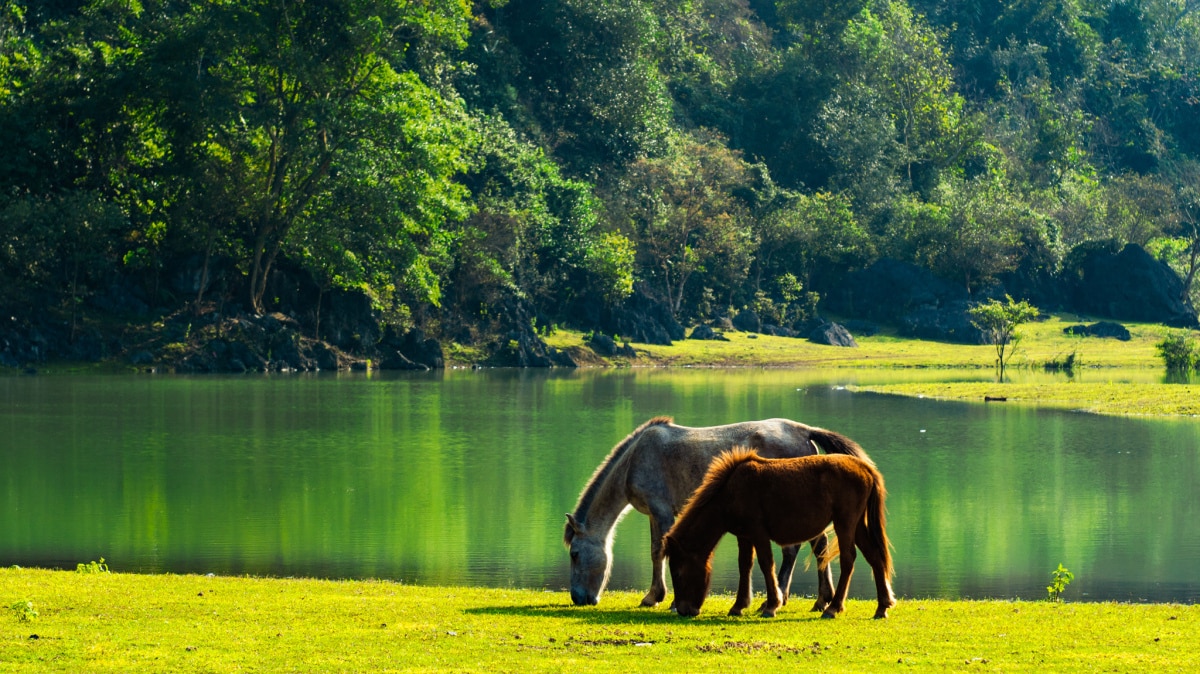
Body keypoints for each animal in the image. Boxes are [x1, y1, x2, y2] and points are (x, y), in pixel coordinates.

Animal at [564, 414, 873, 609]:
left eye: (575, 554)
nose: (578, 598)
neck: (634, 459)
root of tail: (803, 430)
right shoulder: (654, 514)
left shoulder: (661, 511)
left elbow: (657, 551)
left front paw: (658, 598)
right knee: (817, 545)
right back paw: (819, 600)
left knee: (796, 549)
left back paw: (783, 598)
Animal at [662, 448, 897, 618]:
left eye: (678, 572)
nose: (683, 610)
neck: (730, 492)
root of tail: (865, 468)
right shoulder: (744, 536)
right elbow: (744, 566)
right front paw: (738, 606)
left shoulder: (758, 533)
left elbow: (766, 565)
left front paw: (771, 606)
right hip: (857, 525)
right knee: (875, 557)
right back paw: (881, 607)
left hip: (845, 523)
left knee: (849, 559)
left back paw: (833, 608)